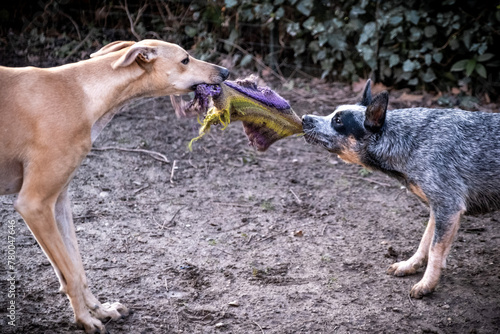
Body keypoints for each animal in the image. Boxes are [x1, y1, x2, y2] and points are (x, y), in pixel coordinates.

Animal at [0, 40, 229, 332]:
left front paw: (100, 309)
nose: (225, 71)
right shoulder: (34, 204)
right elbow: (71, 274)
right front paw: (85, 319)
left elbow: (75, 268)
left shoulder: (58, 201)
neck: (80, 93)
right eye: (185, 59)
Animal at [300, 80, 500, 298]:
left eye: (337, 120)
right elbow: (425, 241)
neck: (411, 141)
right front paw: (409, 265)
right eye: (333, 113)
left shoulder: (448, 205)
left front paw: (426, 285)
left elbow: (435, 249)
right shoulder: (436, 206)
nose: (304, 118)